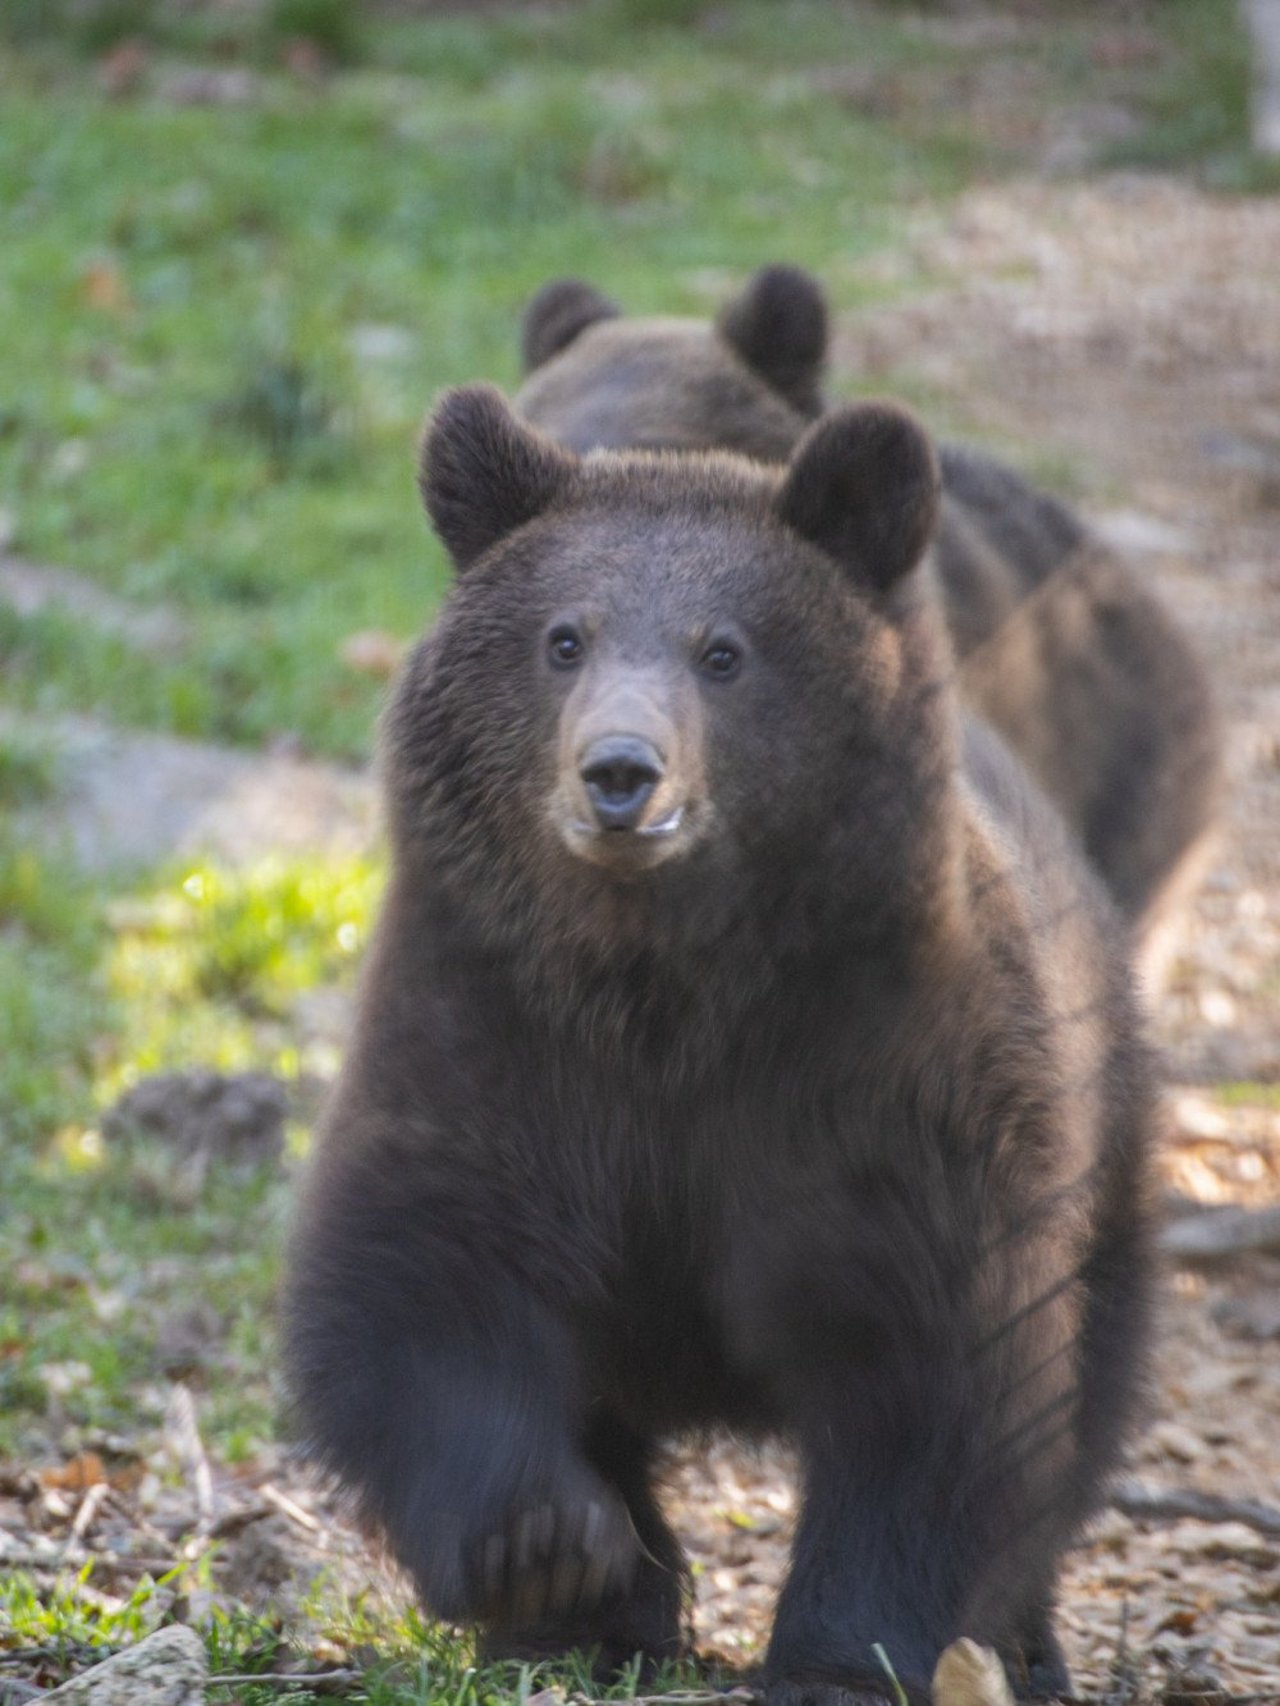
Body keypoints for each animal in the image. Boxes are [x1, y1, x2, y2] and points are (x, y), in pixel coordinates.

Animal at [288, 390, 1160, 1706]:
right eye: (563, 637)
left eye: (723, 650)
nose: (619, 774)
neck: (667, 986)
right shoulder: (493, 1030)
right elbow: (425, 1278)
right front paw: (548, 1552)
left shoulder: (882, 1076)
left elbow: (931, 1367)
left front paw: (845, 1650)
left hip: (1100, 1123)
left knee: (1085, 1388)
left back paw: (1022, 1640)